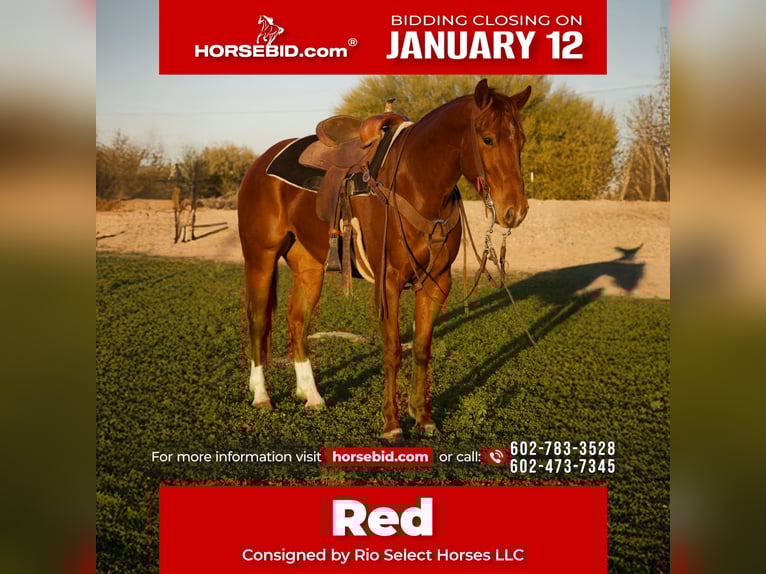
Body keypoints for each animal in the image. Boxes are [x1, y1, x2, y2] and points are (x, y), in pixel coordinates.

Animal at [238, 79, 531, 440]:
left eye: (521, 140)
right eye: (488, 138)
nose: (515, 211)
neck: (416, 182)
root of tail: (259, 163)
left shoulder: (437, 282)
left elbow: (421, 349)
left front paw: (423, 418)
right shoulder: (388, 281)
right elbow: (392, 351)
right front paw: (392, 424)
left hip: (309, 266)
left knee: (297, 320)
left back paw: (312, 395)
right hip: (260, 257)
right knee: (258, 320)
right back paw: (262, 395)